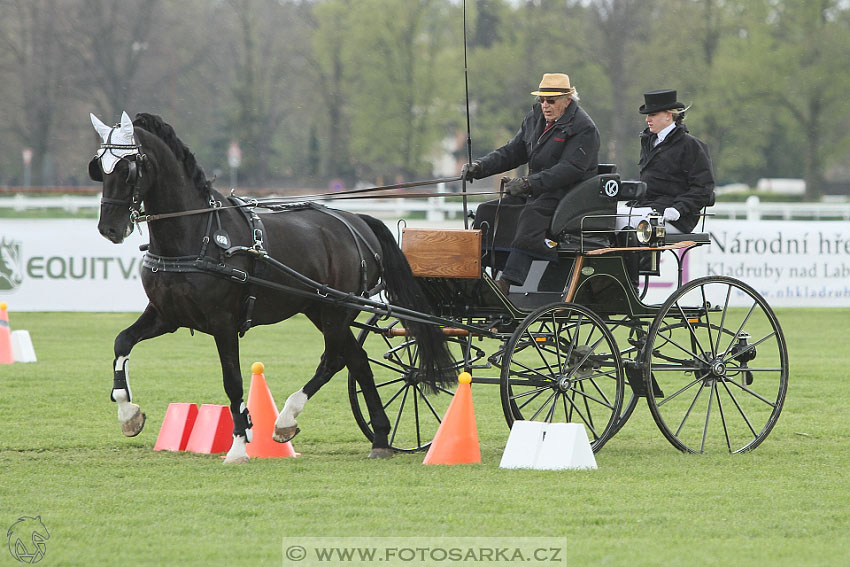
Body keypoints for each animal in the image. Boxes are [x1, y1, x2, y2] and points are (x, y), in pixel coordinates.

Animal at [88, 112, 454, 466]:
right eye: (99, 168)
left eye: (127, 168)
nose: (108, 228)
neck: (197, 234)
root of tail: (357, 221)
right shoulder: (166, 315)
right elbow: (122, 342)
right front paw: (128, 414)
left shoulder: (222, 323)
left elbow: (233, 381)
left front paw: (238, 446)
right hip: (320, 308)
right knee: (356, 360)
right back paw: (372, 436)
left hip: (336, 311)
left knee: (338, 359)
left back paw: (296, 419)